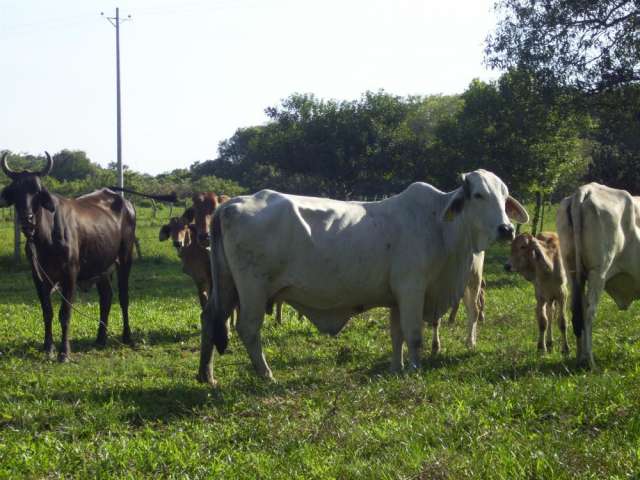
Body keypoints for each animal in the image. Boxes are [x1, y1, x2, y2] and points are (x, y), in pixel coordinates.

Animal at [198, 171, 528, 384]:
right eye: (478, 195)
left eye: (505, 197)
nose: (506, 229)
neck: (438, 224)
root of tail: (230, 204)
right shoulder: (412, 288)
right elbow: (414, 335)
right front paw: (415, 369)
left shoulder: (396, 297)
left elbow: (397, 335)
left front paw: (397, 368)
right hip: (252, 290)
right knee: (248, 329)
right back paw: (266, 375)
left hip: (226, 286)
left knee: (210, 317)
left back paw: (206, 375)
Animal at [556, 183, 640, 368]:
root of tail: (585, 190)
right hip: (599, 272)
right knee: (588, 312)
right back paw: (590, 362)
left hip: (573, 273)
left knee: (577, 310)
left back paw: (580, 357)